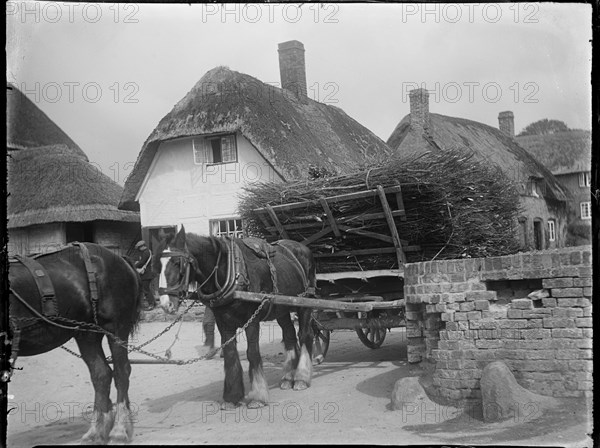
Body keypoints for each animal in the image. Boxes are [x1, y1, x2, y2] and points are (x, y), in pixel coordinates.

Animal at [8, 245, 142, 444]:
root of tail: (119, 258)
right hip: (87, 333)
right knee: (101, 375)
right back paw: (95, 432)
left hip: (117, 328)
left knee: (121, 372)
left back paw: (119, 430)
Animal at [152, 228, 316, 410]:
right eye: (157, 266)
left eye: (177, 262)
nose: (166, 304)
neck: (229, 270)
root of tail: (303, 247)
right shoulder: (223, 322)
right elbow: (230, 354)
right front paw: (232, 397)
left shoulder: (252, 320)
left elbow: (252, 353)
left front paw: (257, 396)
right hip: (282, 309)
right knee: (289, 336)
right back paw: (288, 377)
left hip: (305, 303)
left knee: (305, 335)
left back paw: (301, 377)